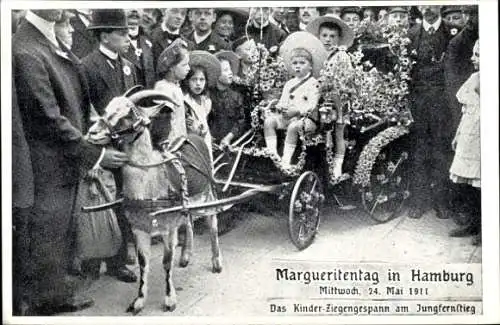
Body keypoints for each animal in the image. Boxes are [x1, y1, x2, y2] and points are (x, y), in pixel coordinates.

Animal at [87, 90, 222, 312]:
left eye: (129, 114)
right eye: (107, 110)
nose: (92, 133)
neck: (150, 182)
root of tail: (195, 135)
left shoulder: (168, 227)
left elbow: (166, 262)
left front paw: (169, 300)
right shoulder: (138, 228)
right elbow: (143, 263)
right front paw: (138, 301)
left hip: (207, 194)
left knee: (212, 224)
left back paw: (217, 262)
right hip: (185, 204)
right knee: (189, 222)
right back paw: (186, 256)